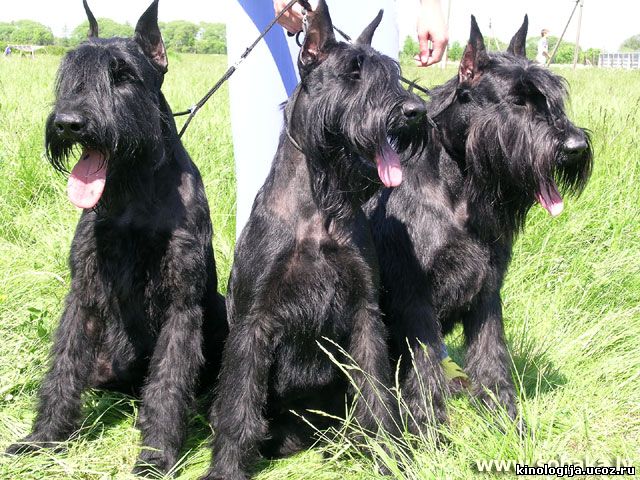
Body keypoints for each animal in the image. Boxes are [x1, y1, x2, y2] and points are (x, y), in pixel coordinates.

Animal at [6, 0, 228, 472]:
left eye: (123, 75)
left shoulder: (182, 302)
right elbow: (63, 367)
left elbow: (168, 382)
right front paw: (43, 438)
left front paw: (156, 455)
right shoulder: (85, 291)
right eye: (71, 71)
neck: (133, 193)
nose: (68, 123)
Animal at [202, 1, 428, 478]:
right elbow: (238, 409)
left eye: (393, 72)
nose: (415, 111)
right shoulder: (254, 321)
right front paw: (227, 467)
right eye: (353, 72)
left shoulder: (364, 310)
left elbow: (376, 394)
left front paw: (389, 454)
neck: (320, 210)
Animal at [368, 16, 592, 434]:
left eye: (553, 98)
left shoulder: (488, 289)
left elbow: (492, 356)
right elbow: (424, 368)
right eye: (517, 100)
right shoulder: (415, 297)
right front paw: (429, 432)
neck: (459, 192)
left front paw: (507, 421)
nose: (575, 147)